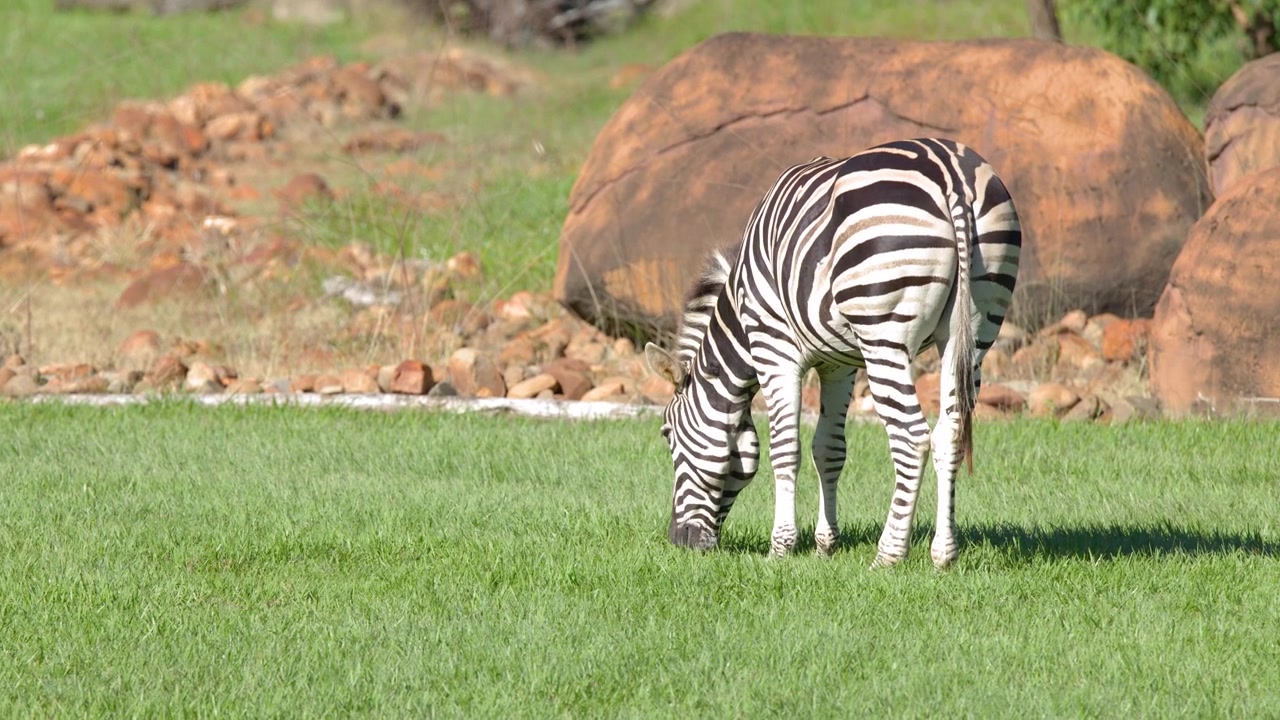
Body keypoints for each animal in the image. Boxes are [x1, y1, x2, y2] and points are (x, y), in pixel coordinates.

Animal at [644, 137, 1021, 568]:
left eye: (667, 435)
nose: (679, 541)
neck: (740, 314)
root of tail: (950, 173)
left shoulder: (775, 350)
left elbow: (785, 449)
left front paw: (780, 548)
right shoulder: (839, 364)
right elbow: (828, 449)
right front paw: (825, 544)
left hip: (883, 334)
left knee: (911, 438)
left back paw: (888, 555)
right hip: (973, 332)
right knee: (950, 432)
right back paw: (943, 555)